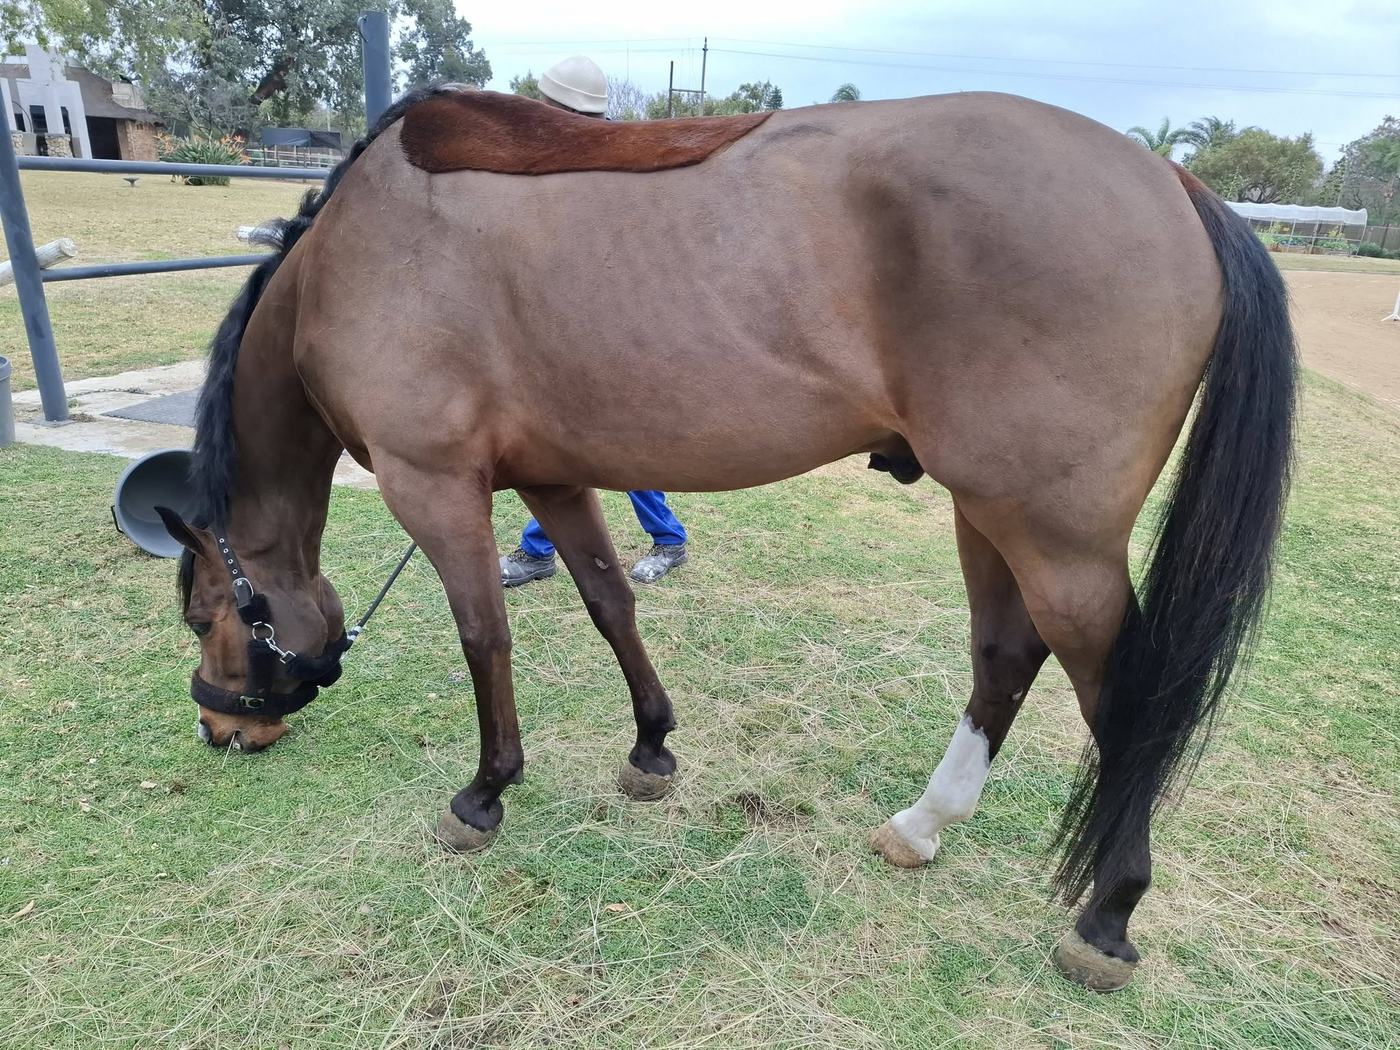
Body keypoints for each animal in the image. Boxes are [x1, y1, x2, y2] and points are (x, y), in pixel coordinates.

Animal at [157, 87, 1295, 992]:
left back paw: (1108, 914)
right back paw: (923, 827)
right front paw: (650, 747)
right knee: (1005, 656)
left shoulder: (431, 484)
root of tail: (1171, 181)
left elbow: (484, 636)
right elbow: (609, 599)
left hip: (1054, 537)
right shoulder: (553, 475)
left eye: (206, 615)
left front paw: (483, 794)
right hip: (990, 513)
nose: (221, 728)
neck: (352, 258)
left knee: (1117, 689)